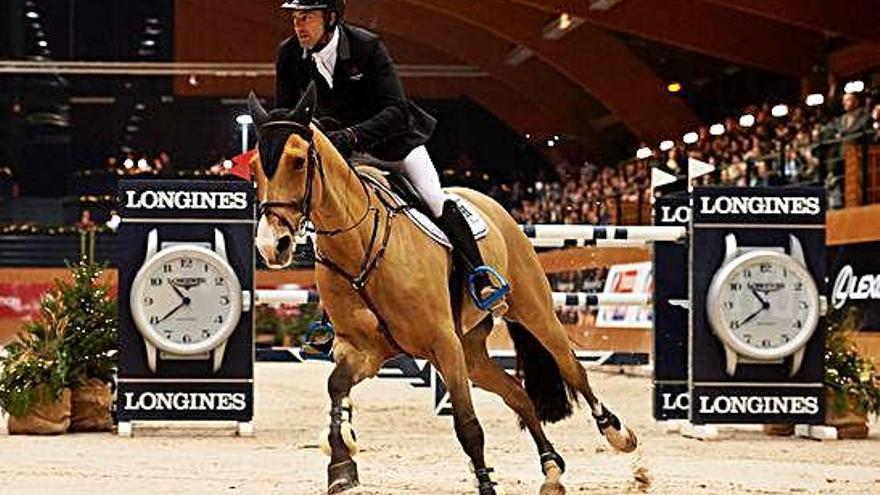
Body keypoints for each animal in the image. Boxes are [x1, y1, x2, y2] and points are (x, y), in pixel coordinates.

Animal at [248, 82, 640, 495]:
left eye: (298, 161)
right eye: (255, 168)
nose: (273, 245)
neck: (359, 246)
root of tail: (493, 205)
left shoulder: (442, 343)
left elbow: (467, 426)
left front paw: (486, 486)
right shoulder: (364, 350)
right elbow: (336, 387)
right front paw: (341, 465)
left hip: (532, 314)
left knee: (572, 368)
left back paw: (618, 434)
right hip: (472, 351)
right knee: (518, 395)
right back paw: (551, 470)